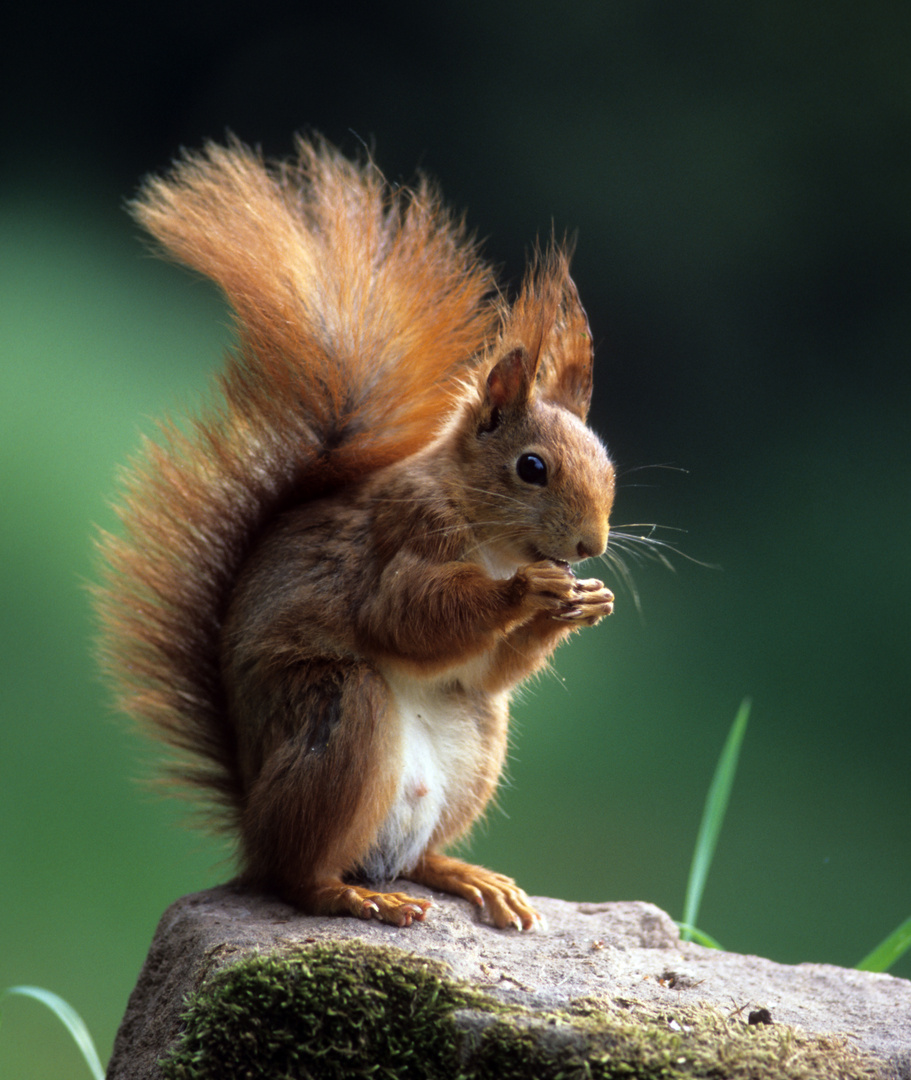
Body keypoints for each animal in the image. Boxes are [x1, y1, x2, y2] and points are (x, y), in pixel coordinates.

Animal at [96, 135, 617, 928]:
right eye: (531, 467)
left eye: (607, 461)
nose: (592, 546)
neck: (488, 538)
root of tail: (253, 828)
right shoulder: (402, 538)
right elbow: (404, 615)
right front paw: (528, 590)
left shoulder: (478, 669)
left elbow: (486, 666)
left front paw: (584, 603)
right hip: (340, 718)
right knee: (298, 877)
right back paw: (353, 895)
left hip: (477, 740)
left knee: (416, 853)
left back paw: (464, 875)